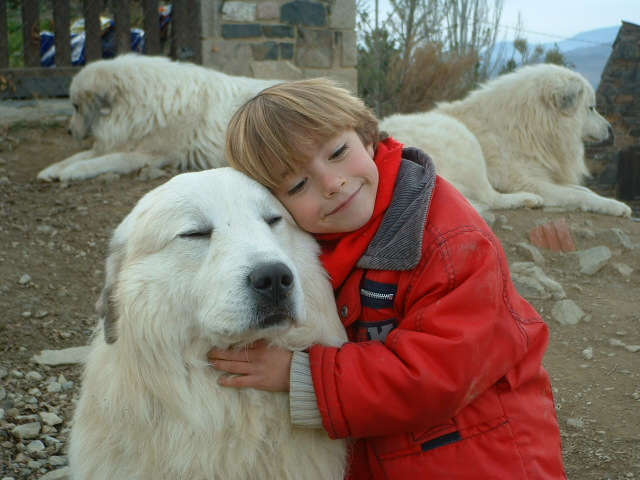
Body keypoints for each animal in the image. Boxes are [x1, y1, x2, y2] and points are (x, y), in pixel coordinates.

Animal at [37, 54, 278, 182]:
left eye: (76, 107)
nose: (69, 131)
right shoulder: (118, 142)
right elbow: (80, 156)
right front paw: (52, 170)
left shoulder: (156, 155)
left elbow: (109, 160)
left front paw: (73, 172)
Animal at [382, 63, 632, 218]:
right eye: (591, 108)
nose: (610, 129)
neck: (532, 124)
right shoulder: (526, 181)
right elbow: (577, 194)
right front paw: (615, 206)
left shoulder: (545, 175)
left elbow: (585, 191)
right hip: (464, 139)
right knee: (490, 198)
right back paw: (528, 199)